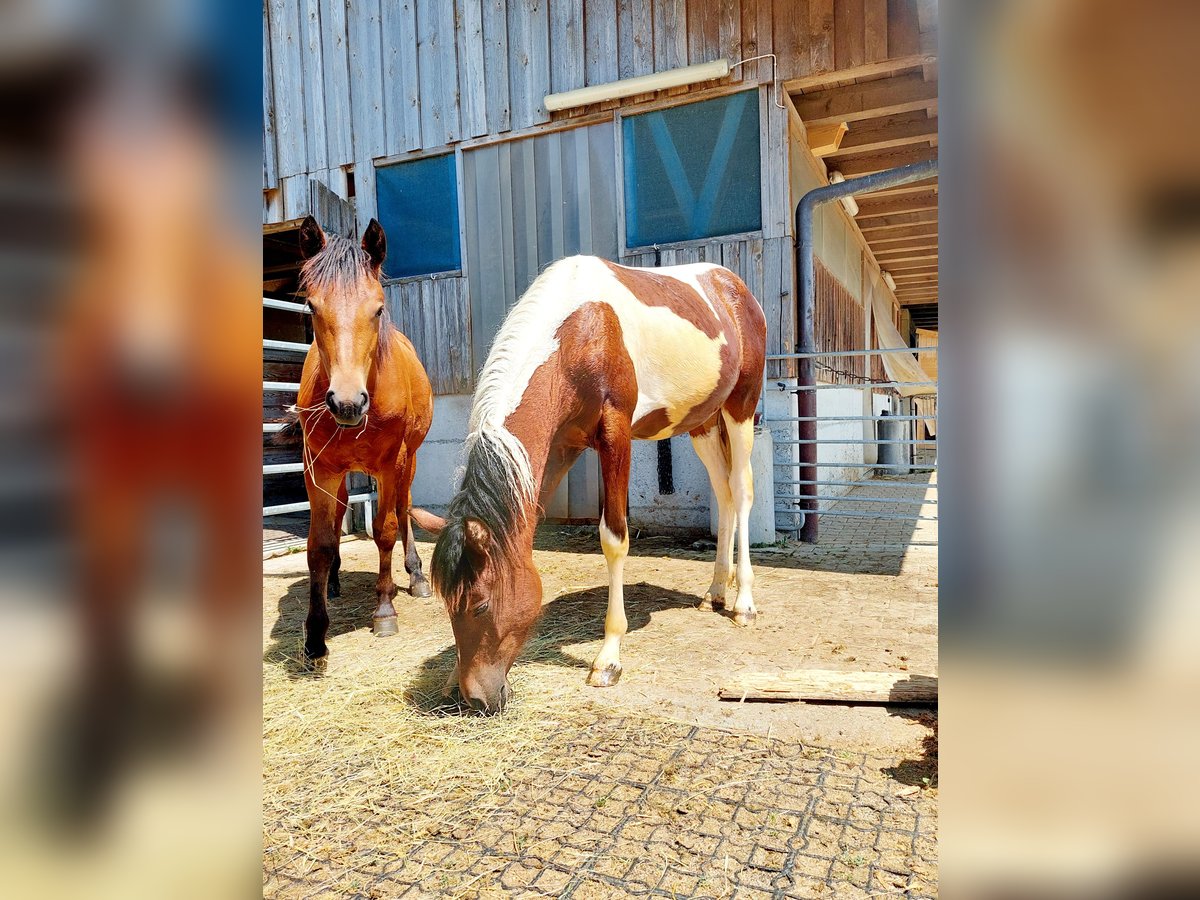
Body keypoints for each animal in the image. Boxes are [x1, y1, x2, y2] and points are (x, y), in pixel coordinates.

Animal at [286, 216, 434, 666]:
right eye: (312, 307)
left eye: (378, 308)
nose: (347, 402)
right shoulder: (318, 468)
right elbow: (318, 544)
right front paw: (315, 635)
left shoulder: (390, 464)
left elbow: (385, 530)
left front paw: (384, 610)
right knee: (338, 517)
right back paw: (334, 580)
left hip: (408, 461)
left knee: (403, 510)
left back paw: (416, 576)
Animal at [412, 255, 766, 712]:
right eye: (448, 605)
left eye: (481, 604)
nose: (476, 698)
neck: (577, 333)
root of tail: (733, 285)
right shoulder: (560, 447)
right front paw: (453, 676)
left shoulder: (616, 434)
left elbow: (614, 538)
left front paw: (608, 658)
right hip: (702, 422)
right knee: (722, 494)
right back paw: (715, 592)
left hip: (741, 407)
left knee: (740, 492)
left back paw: (743, 603)